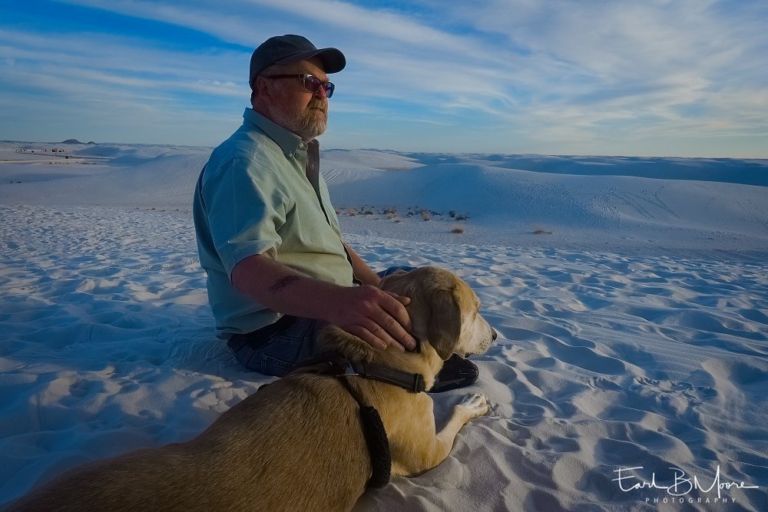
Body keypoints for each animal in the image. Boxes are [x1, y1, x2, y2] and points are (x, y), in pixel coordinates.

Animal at [10, 266, 498, 512]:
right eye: (475, 310)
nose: (496, 336)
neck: (369, 363)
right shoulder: (426, 454)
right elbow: (452, 419)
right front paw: (472, 402)